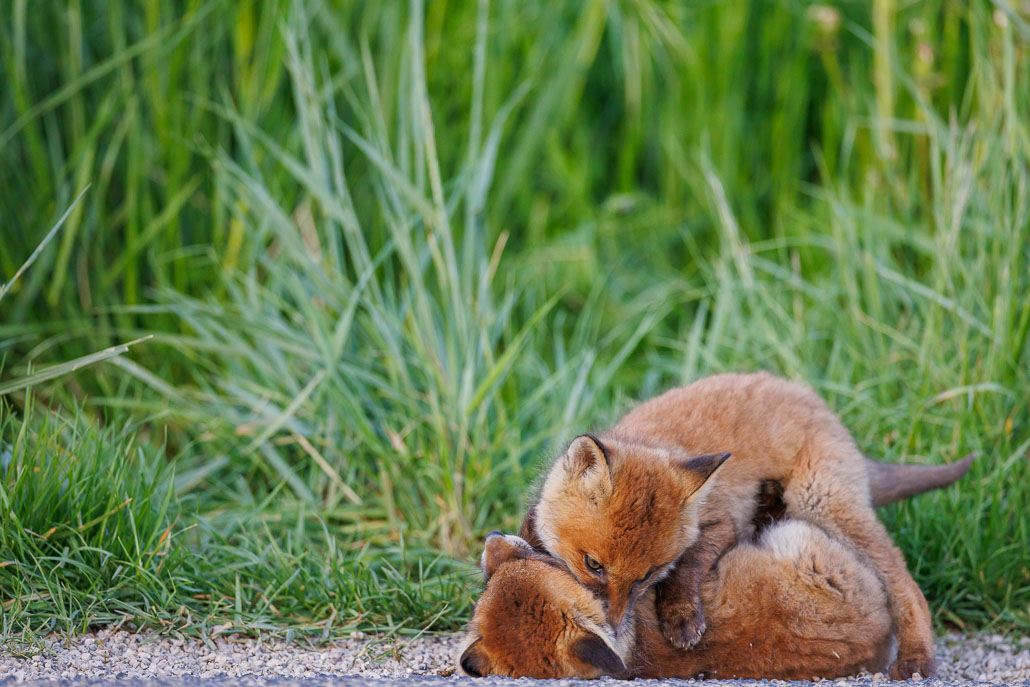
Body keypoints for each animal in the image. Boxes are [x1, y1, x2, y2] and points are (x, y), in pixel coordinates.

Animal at [519, 372, 976, 679]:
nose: (615, 627)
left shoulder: (725, 519)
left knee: (902, 577)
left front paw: (682, 617)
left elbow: (691, 564)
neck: (649, 441)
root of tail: (809, 395)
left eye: (648, 575)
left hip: (821, 501)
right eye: (594, 564)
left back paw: (916, 657)